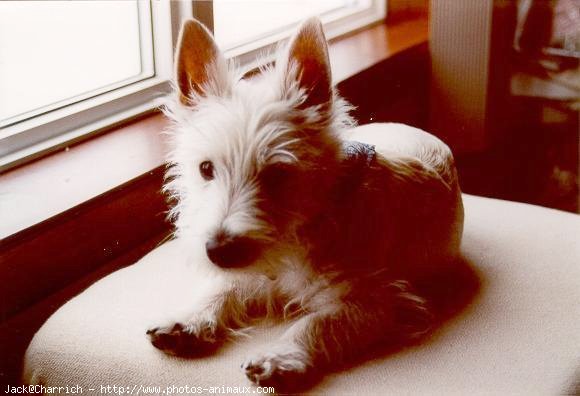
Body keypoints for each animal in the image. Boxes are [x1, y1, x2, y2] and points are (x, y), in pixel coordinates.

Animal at [147, 17, 464, 392]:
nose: (218, 251)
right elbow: (224, 288)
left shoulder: (377, 301)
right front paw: (189, 319)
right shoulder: (254, 271)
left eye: (277, 174)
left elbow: (317, 323)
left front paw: (279, 356)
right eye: (205, 169)